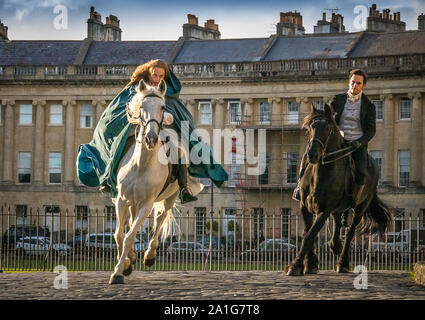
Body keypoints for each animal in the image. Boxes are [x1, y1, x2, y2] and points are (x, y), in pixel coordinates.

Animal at [107, 79, 179, 284]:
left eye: (163, 107)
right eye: (141, 107)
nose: (151, 138)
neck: (141, 165)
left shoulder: (146, 204)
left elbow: (130, 236)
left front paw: (118, 272)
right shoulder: (121, 200)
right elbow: (119, 234)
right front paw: (124, 264)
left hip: (170, 197)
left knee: (161, 218)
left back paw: (149, 255)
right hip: (131, 202)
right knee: (131, 222)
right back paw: (131, 258)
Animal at [284, 103, 390, 276]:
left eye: (328, 127)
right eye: (309, 128)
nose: (312, 155)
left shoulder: (324, 209)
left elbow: (310, 235)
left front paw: (295, 265)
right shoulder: (304, 206)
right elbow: (307, 233)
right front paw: (310, 264)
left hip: (360, 208)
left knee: (349, 232)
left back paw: (342, 262)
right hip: (339, 207)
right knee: (338, 223)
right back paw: (335, 245)